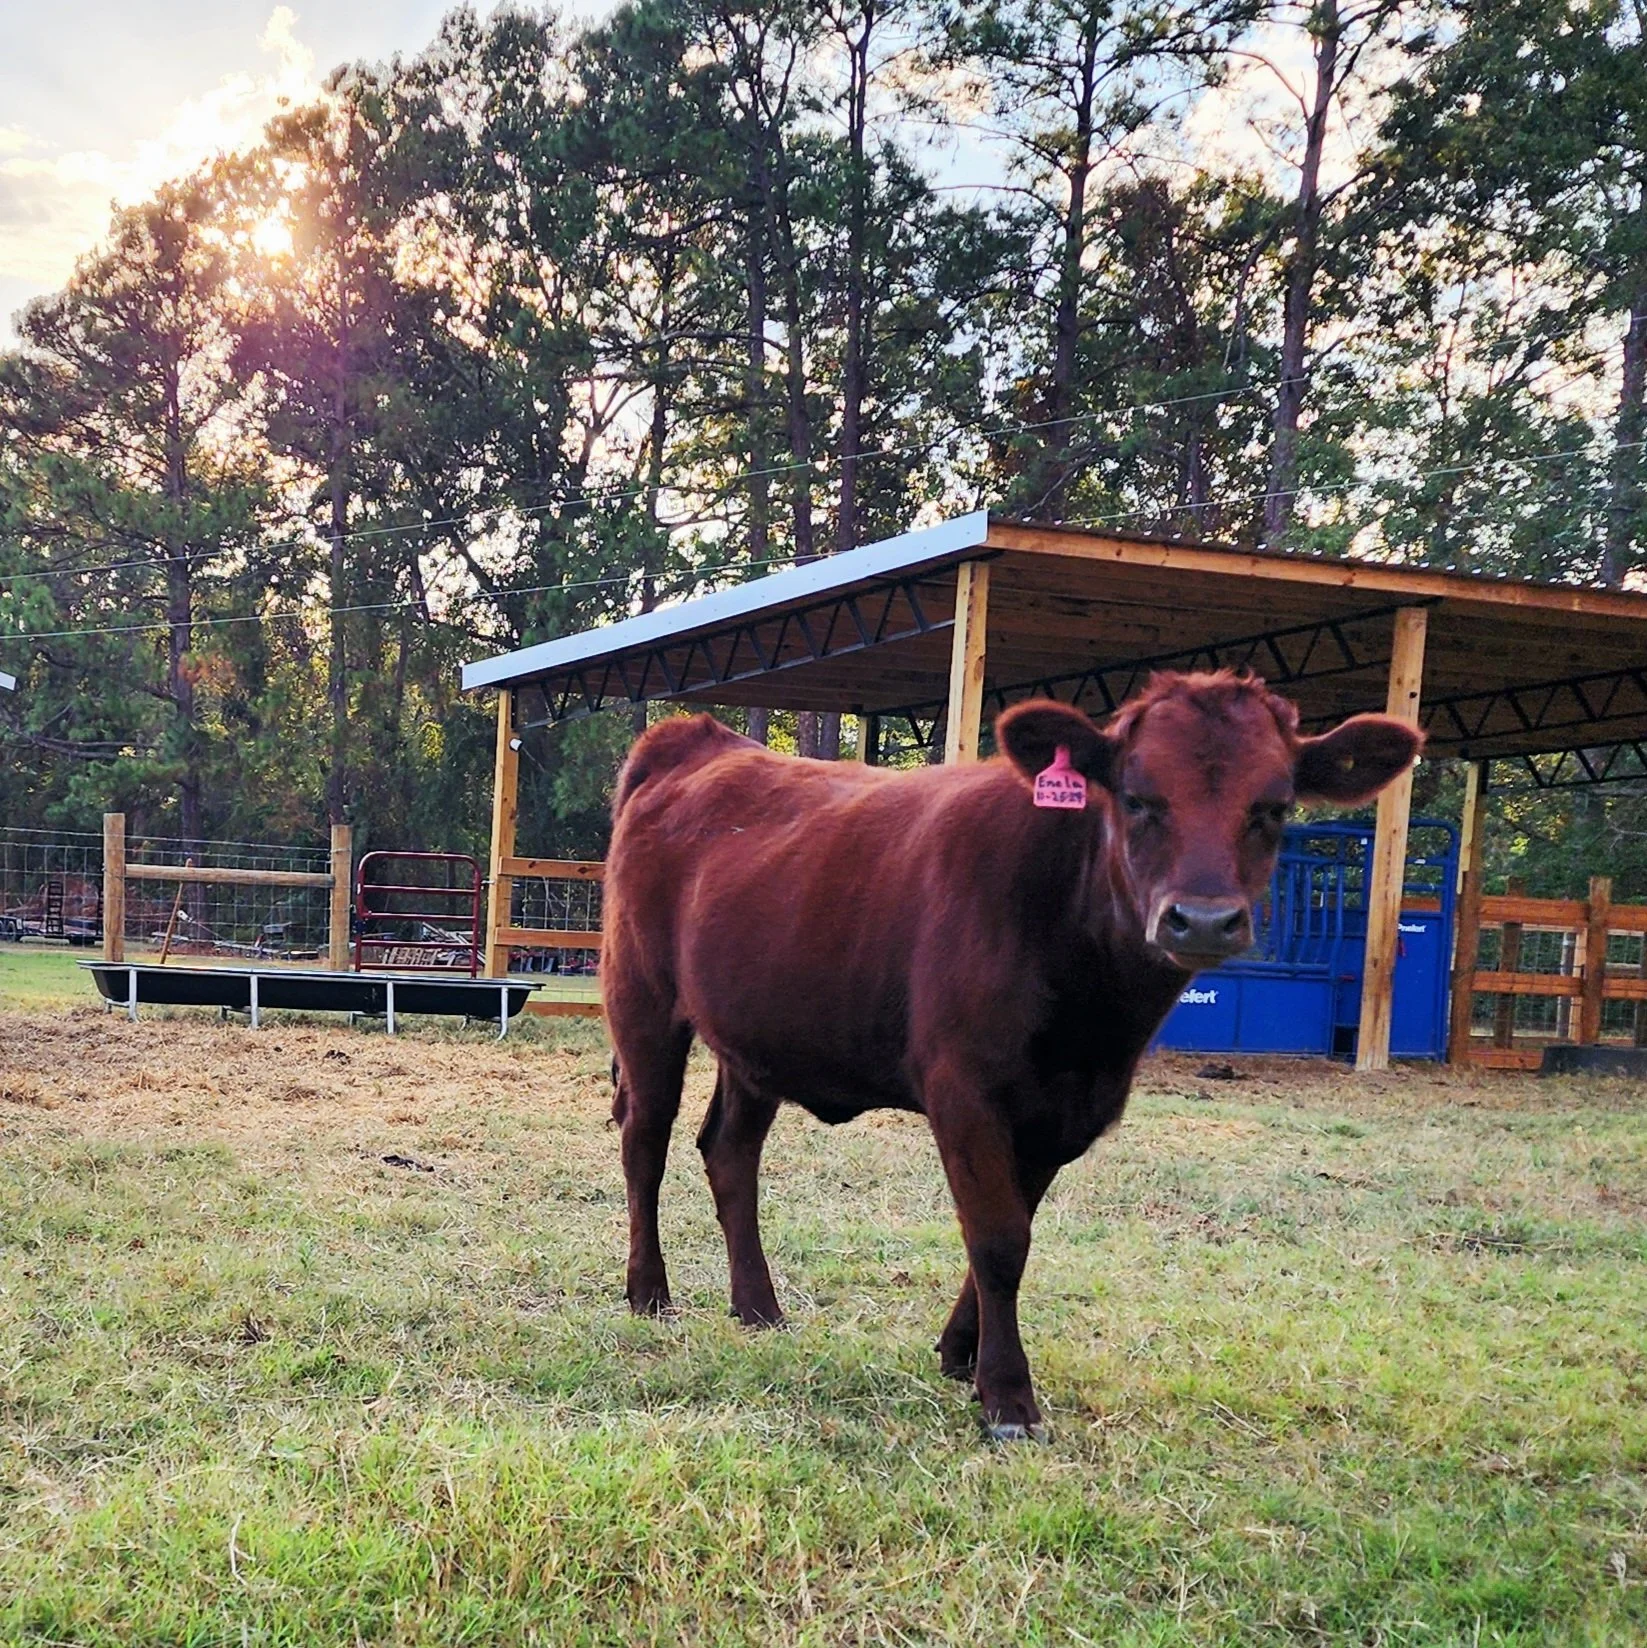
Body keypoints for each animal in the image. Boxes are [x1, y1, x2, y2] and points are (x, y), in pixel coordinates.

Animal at [602, 671, 1422, 1439]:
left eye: (1274, 807)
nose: (1203, 919)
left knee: (730, 1153)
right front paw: (1006, 1395)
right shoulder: (965, 1085)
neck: (1093, 1014)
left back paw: (758, 1306)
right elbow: (997, 1237)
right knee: (645, 1141)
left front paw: (960, 1353)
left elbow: (1009, 1227)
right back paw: (649, 1292)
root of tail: (699, 737)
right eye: (1136, 798)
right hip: (641, 997)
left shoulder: (1067, 1105)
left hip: (755, 1036)